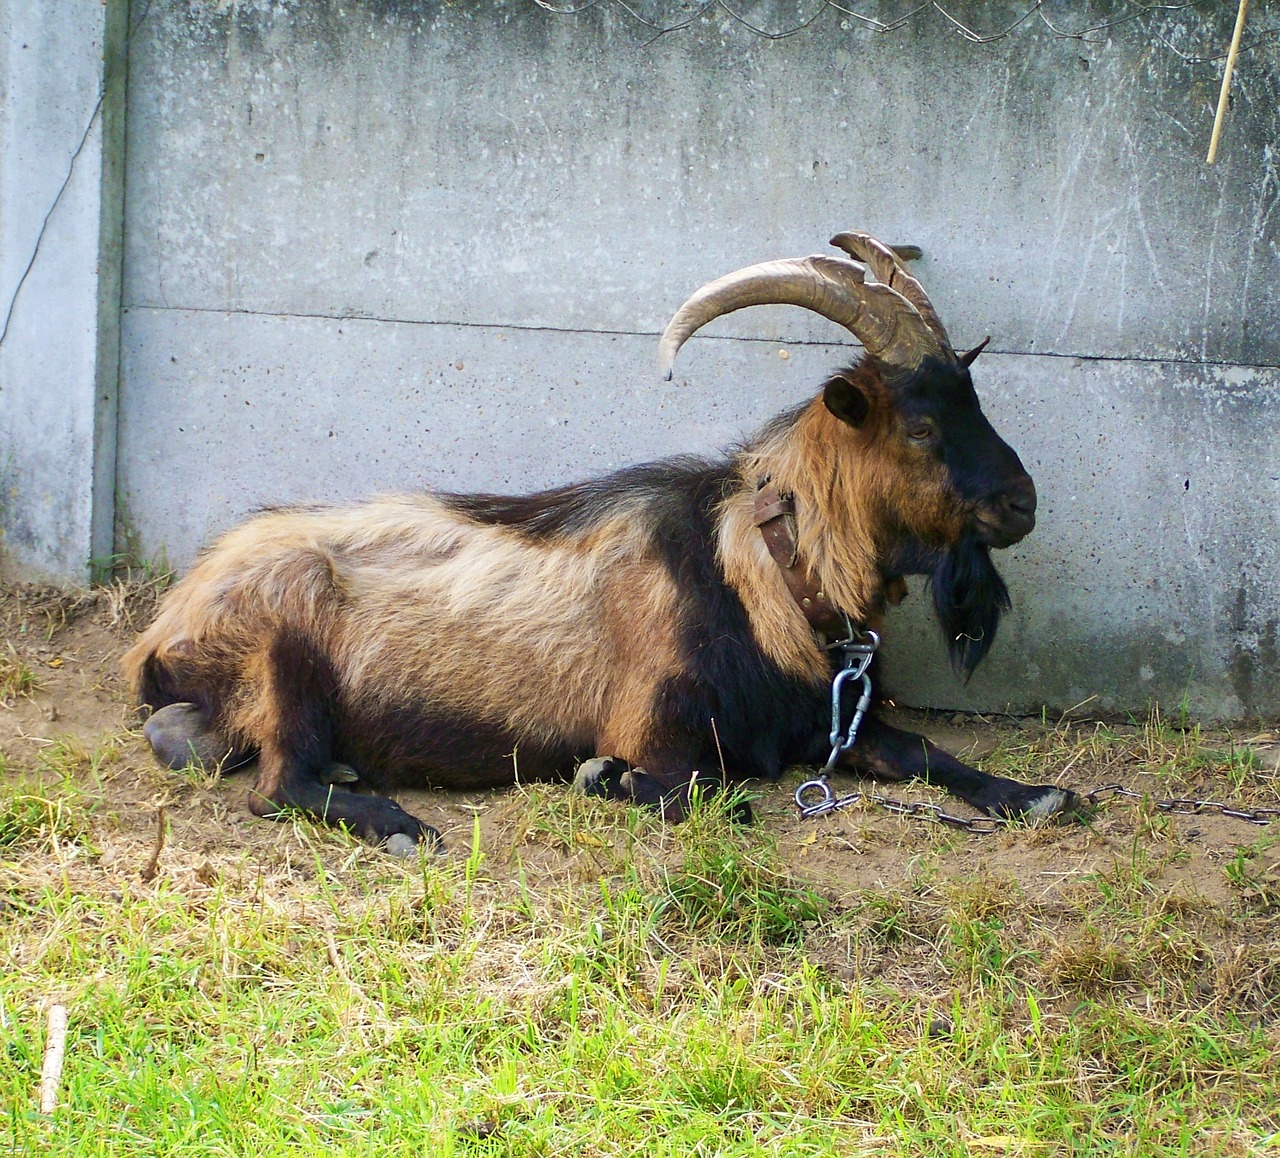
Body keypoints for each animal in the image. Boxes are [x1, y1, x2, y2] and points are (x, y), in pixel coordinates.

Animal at [122, 235, 1080, 849]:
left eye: (974, 399)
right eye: (922, 425)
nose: (1023, 502)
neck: (752, 573)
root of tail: (164, 625)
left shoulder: (825, 718)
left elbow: (922, 749)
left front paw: (1036, 795)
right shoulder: (657, 731)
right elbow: (714, 796)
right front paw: (601, 778)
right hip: (284, 646)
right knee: (277, 786)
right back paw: (397, 824)